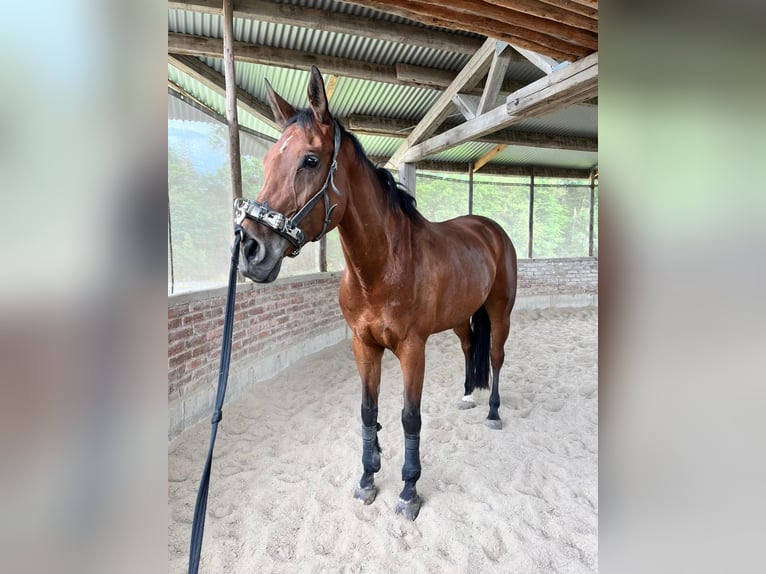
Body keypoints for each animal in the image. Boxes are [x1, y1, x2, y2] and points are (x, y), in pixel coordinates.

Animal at [236, 66, 517, 520]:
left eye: (310, 160)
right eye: (267, 160)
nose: (250, 249)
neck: (382, 268)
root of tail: (490, 229)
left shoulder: (412, 349)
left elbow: (409, 417)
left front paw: (408, 490)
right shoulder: (363, 345)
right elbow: (369, 411)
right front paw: (368, 478)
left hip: (500, 311)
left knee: (494, 357)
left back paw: (492, 411)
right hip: (461, 318)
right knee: (468, 347)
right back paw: (466, 396)